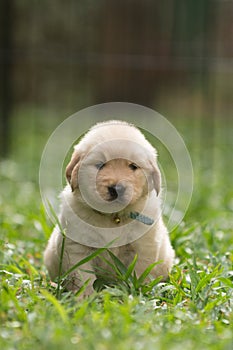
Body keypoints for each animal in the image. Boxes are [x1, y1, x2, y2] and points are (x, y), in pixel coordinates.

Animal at [44, 120, 175, 296]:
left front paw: (137, 293)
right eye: (100, 165)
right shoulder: (77, 248)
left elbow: (140, 273)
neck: (114, 217)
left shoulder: (143, 247)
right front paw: (85, 297)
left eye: (133, 166)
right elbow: (82, 275)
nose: (117, 188)